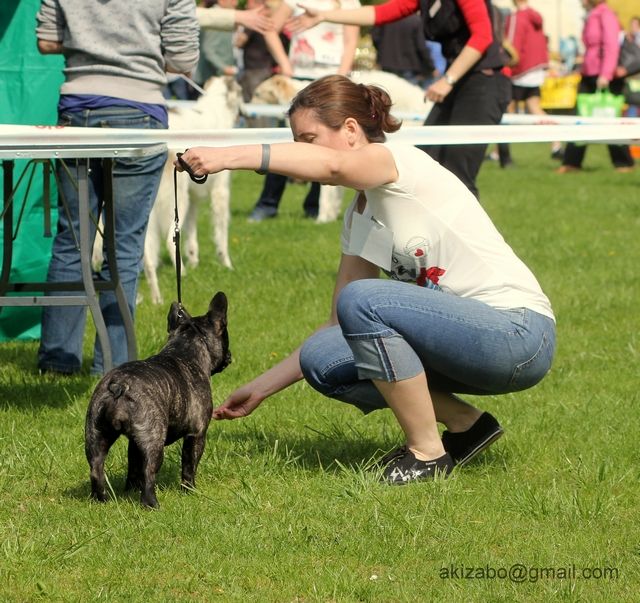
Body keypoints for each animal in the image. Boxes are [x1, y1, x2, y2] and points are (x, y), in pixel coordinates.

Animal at [85, 291, 231, 509]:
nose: (229, 356)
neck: (186, 349)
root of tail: (118, 386)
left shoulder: (134, 441)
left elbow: (133, 466)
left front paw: (130, 489)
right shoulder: (197, 434)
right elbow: (189, 466)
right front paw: (190, 491)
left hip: (96, 434)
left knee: (96, 468)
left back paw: (100, 500)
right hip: (154, 441)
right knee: (149, 472)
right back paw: (151, 504)